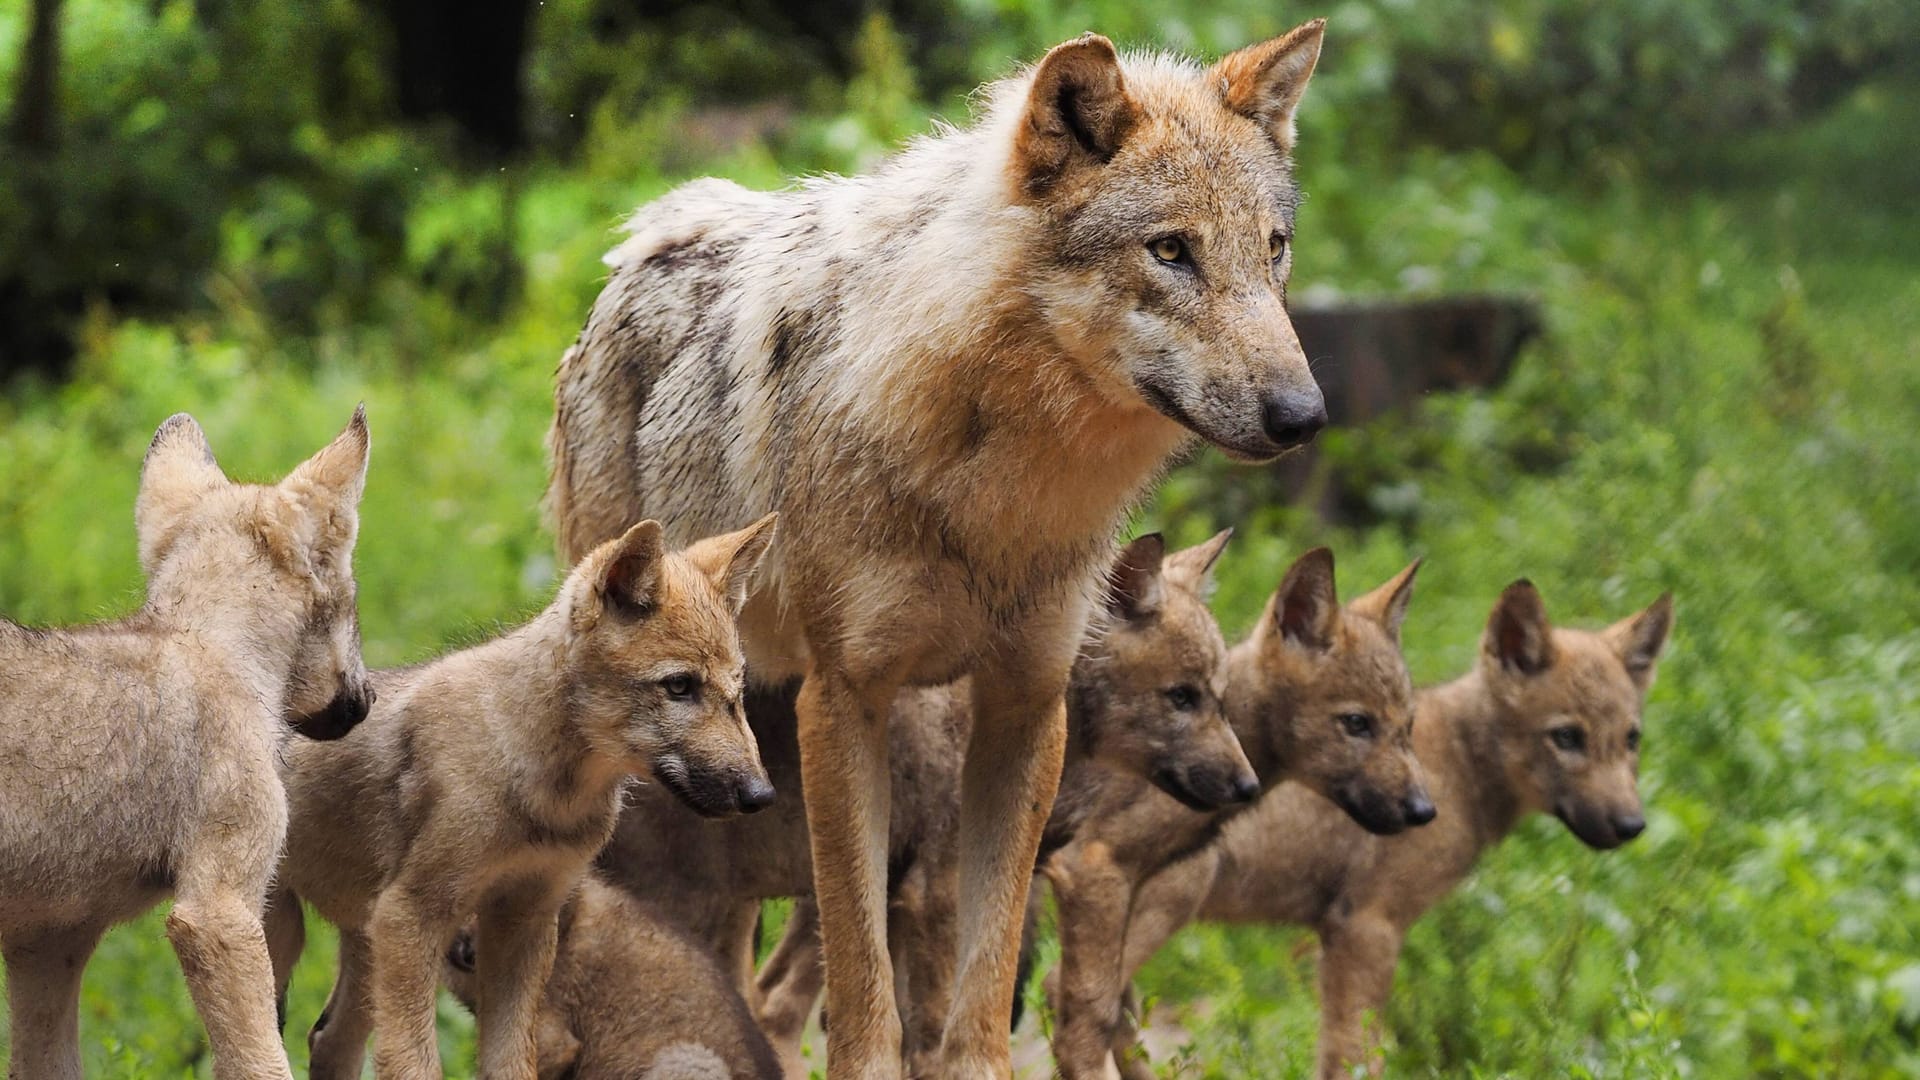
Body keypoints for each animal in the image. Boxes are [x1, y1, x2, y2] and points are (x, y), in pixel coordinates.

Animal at [556, 21, 1328, 1068]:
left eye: (1273, 250)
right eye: (1171, 250)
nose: (1305, 415)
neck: (997, 488)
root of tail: (651, 235)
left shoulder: (1025, 706)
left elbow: (986, 969)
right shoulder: (846, 701)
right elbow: (863, 973)